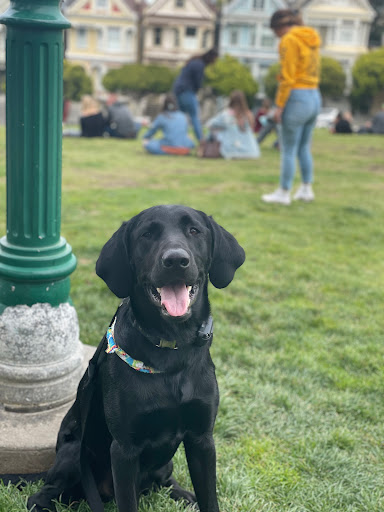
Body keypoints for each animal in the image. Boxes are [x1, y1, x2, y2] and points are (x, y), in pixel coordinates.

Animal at [27, 205, 244, 512]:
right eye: (147, 234)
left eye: (194, 231)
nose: (175, 260)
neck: (172, 349)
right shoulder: (124, 450)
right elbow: (127, 502)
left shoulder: (202, 439)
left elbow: (209, 499)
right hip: (73, 454)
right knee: (44, 494)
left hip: (165, 464)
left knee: (162, 481)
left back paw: (182, 494)